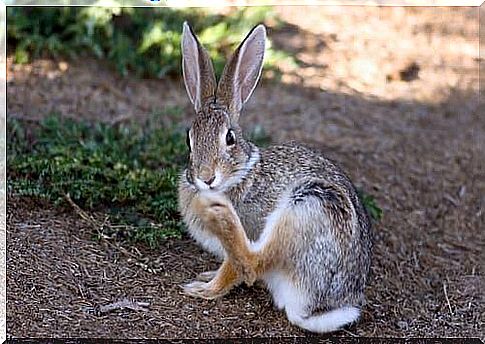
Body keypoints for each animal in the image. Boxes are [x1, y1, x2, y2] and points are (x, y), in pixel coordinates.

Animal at [177, 22, 370, 334]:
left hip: (309, 206)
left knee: (254, 262)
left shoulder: (251, 230)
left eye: (229, 138)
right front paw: (206, 277)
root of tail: (307, 308)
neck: (240, 174)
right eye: (189, 139)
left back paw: (220, 214)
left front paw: (205, 289)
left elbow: (236, 269)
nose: (206, 178)